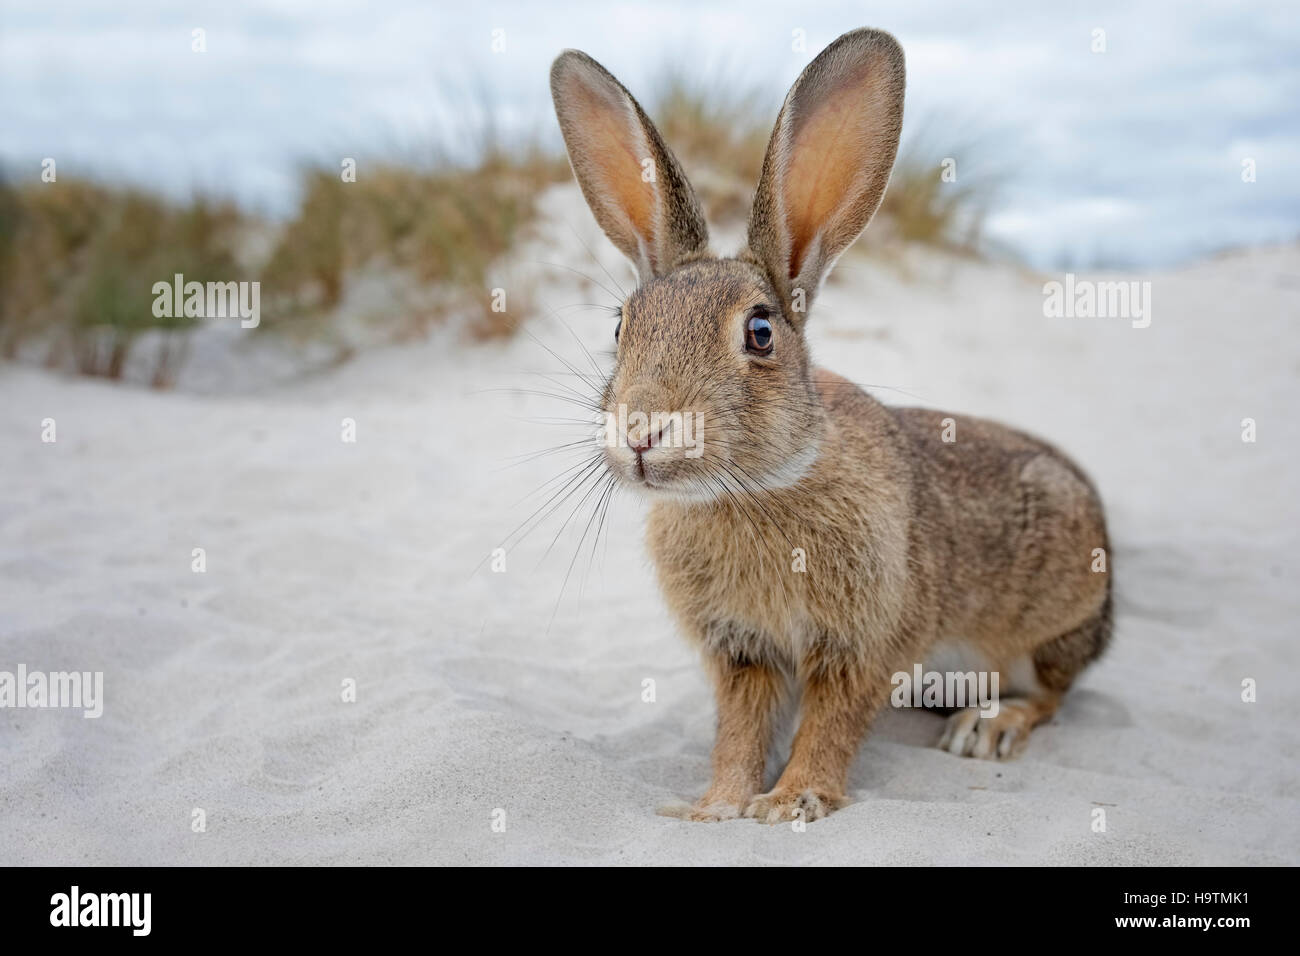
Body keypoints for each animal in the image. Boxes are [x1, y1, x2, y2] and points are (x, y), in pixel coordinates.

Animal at [549, 27, 1112, 824]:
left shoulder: (861, 644)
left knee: (1052, 694)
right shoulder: (744, 653)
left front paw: (792, 802)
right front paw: (715, 807)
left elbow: (832, 722)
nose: (642, 433)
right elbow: (740, 731)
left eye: (759, 332)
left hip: (1050, 626)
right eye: (622, 326)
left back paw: (988, 727)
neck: (752, 492)